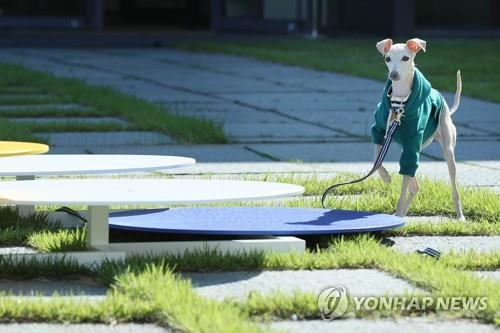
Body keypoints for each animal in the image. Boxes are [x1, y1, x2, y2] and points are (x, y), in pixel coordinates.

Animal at [372, 37, 464, 219]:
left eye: (405, 58)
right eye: (387, 59)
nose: (394, 75)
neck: (399, 102)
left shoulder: (412, 141)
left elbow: (403, 190)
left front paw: (398, 210)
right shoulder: (379, 129)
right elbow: (376, 157)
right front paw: (385, 177)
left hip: (446, 150)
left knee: (453, 188)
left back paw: (460, 216)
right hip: (413, 148)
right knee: (414, 185)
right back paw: (402, 213)